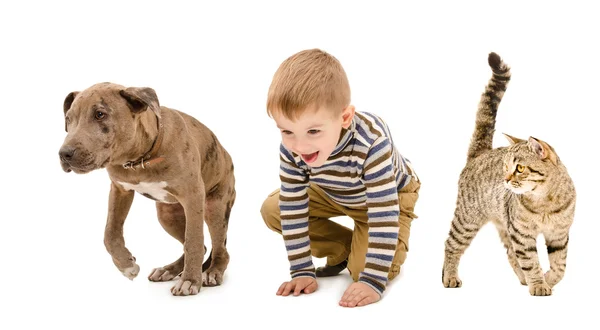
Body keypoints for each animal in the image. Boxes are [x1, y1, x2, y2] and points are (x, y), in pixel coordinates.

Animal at [59, 82, 236, 296]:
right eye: (68, 119)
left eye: (100, 114)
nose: (64, 154)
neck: (139, 159)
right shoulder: (120, 190)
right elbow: (110, 232)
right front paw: (126, 265)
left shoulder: (193, 197)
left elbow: (193, 239)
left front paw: (190, 281)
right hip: (167, 215)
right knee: (201, 246)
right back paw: (168, 270)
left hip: (214, 208)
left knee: (219, 248)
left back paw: (212, 272)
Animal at [440, 52, 576, 296]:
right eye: (505, 167)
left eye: (519, 168)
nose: (505, 179)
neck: (544, 201)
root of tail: (481, 152)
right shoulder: (522, 234)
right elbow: (531, 260)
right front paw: (539, 283)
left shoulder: (559, 234)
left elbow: (560, 265)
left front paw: (548, 278)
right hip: (467, 219)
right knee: (451, 245)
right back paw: (450, 276)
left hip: (503, 224)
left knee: (510, 254)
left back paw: (524, 278)